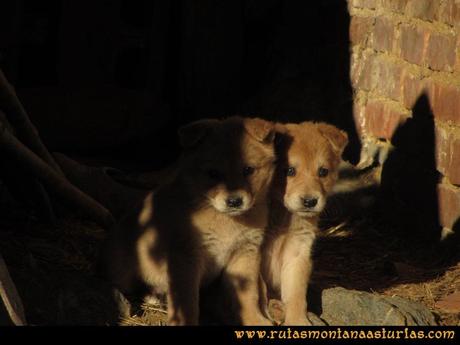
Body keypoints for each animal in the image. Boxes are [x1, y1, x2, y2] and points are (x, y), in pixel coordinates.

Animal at [104, 117, 274, 324]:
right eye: (213, 173)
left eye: (248, 170)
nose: (234, 201)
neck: (225, 220)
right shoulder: (186, 258)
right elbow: (186, 301)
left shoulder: (244, 254)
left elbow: (249, 296)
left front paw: (255, 320)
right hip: (125, 268)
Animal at [260, 122, 346, 324]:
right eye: (289, 171)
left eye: (323, 171)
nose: (310, 201)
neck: (284, 217)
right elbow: (260, 288)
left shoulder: (298, 253)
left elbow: (296, 295)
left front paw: (298, 320)